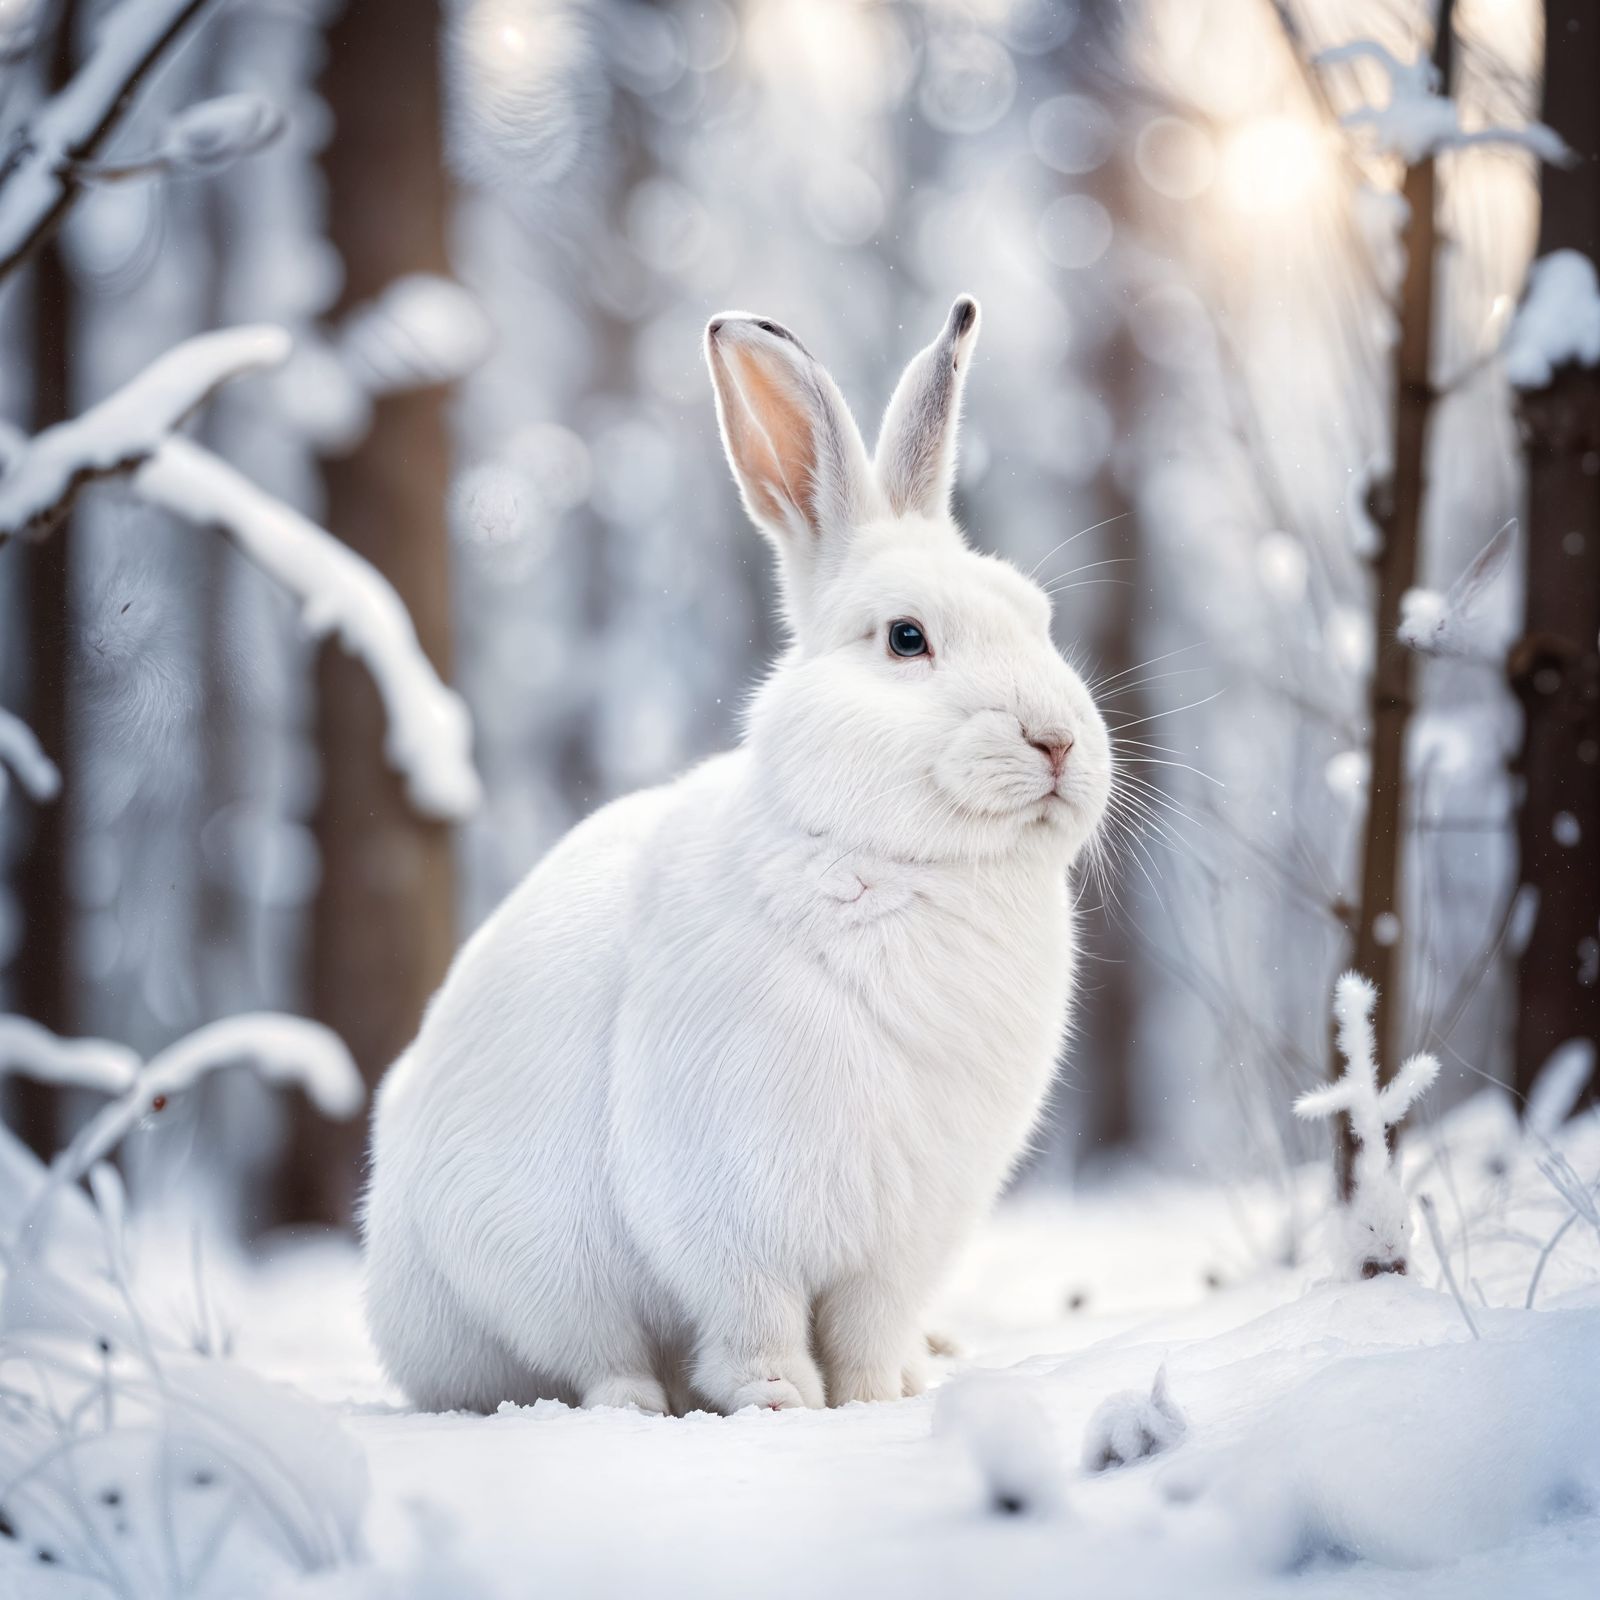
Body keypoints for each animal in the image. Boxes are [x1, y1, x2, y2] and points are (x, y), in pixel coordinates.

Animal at [362, 296, 1112, 1416]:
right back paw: (637, 1404)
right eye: (905, 638)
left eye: (1041, 621)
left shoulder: (906, 1234)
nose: (1058, 742)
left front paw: (875, 1401)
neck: (894, 862)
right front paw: (778, 1403)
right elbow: (754, 1317)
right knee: (597, 1355)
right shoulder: (728, 1202)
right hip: (532, 1267)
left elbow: (866, 1328)